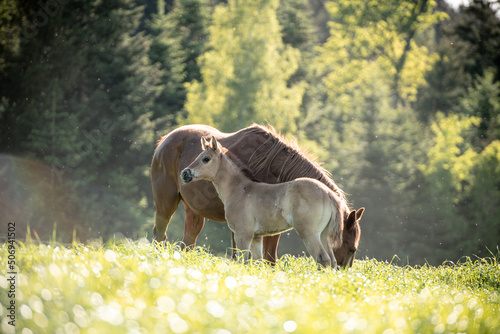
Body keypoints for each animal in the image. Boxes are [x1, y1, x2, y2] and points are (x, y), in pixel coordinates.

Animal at [151, 124, 364, 268]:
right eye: (351, 247)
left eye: (205, 158)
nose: (185, 173)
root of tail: (163, 141)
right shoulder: (252, 234)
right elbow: (253, 261)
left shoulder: (248, 233)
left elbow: (257, 261)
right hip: (168, 203)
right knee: (162, 235)